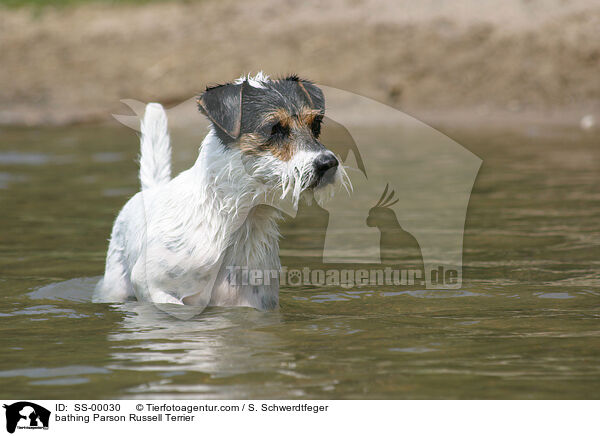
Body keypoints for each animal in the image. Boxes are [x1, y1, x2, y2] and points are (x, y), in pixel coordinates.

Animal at [91, 72, 350, 310]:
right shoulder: (153, 287)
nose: (328, 163)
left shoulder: (254, 304)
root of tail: (152, 189)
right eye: (274, 128)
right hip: (115, 284)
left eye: (316, 125)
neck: (234, 223)